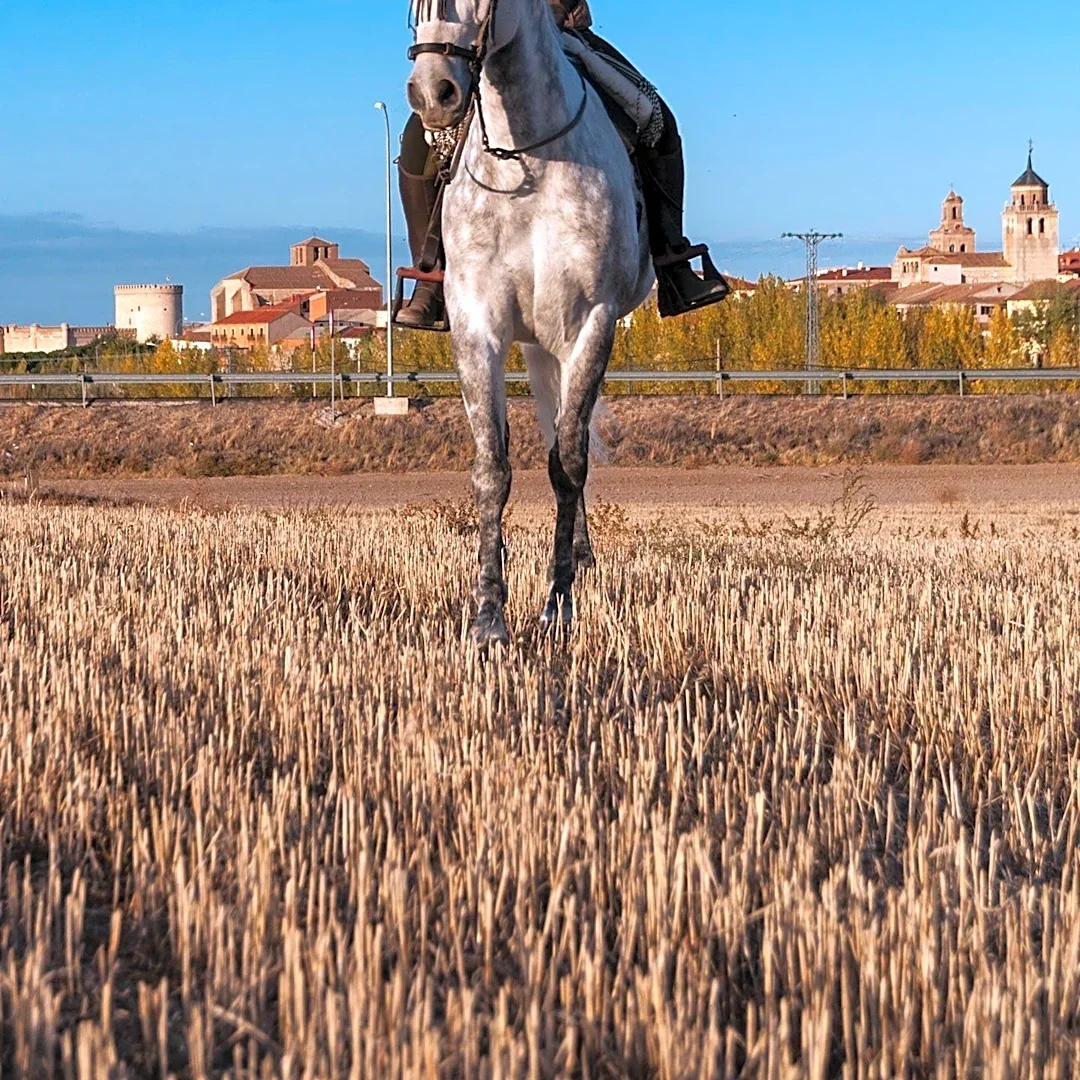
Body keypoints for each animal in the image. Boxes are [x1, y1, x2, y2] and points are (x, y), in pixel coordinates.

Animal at [406, 0, 654, 646]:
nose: (433, 92)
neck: (527, 159)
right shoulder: (477, 328)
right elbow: (493, 468)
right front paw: (489, 616)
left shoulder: (591, 325)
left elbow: (567, 463)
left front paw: (558, 603)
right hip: (538, 348)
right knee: (550, 429)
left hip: (558, 344)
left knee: (565, 443)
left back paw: (580, 560)